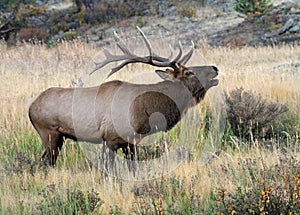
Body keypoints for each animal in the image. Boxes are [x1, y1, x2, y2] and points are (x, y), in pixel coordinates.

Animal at [28, 26, 220, 167]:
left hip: (59, 138)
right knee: (48, 162)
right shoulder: (110, 139)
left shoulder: (131, 143)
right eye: (188, 72)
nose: (215, 68)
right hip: (48, 133)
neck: (145, 111)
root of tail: (30, 107)